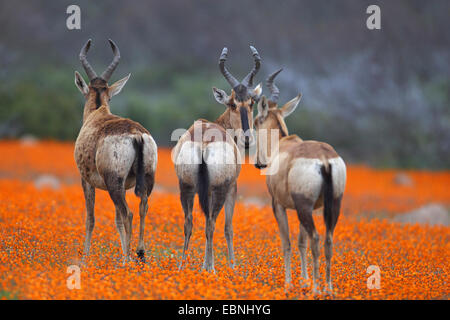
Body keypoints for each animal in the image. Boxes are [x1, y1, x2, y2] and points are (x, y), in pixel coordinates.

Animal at [74, 39, 157, 262]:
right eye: (110, 97)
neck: (98, 113)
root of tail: (137, 134)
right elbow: (117, 220)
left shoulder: (86, 181)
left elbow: (91, 218)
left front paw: (85, 258)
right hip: (147, 179)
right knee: (142, 207)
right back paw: (140, 253)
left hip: (114, 182)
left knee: (128, 213)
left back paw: (126, 259)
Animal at [173, 46, 264, 272]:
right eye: (232, 103)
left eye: (251, 102)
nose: (247, 139)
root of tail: (204, 142)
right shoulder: (232, 187)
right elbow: (228, 227)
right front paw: (232, 266)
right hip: (219, 189)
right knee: (212, 223)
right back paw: (210, 269)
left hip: (186, 186)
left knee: (189, 222)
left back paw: (182, 266)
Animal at [253, 69, 348, 294]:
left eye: (255, 121)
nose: (259, 163)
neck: (283, 144)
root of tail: (323, 158)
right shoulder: (307, 207)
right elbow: (300, 242)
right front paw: (303, 281)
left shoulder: (279, 205)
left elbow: (287, 242)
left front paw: (289, 283)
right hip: (332, 204)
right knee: (328, 240)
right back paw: (328, 288)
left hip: (304, 207)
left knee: (316, 238)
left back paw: (316, 289)